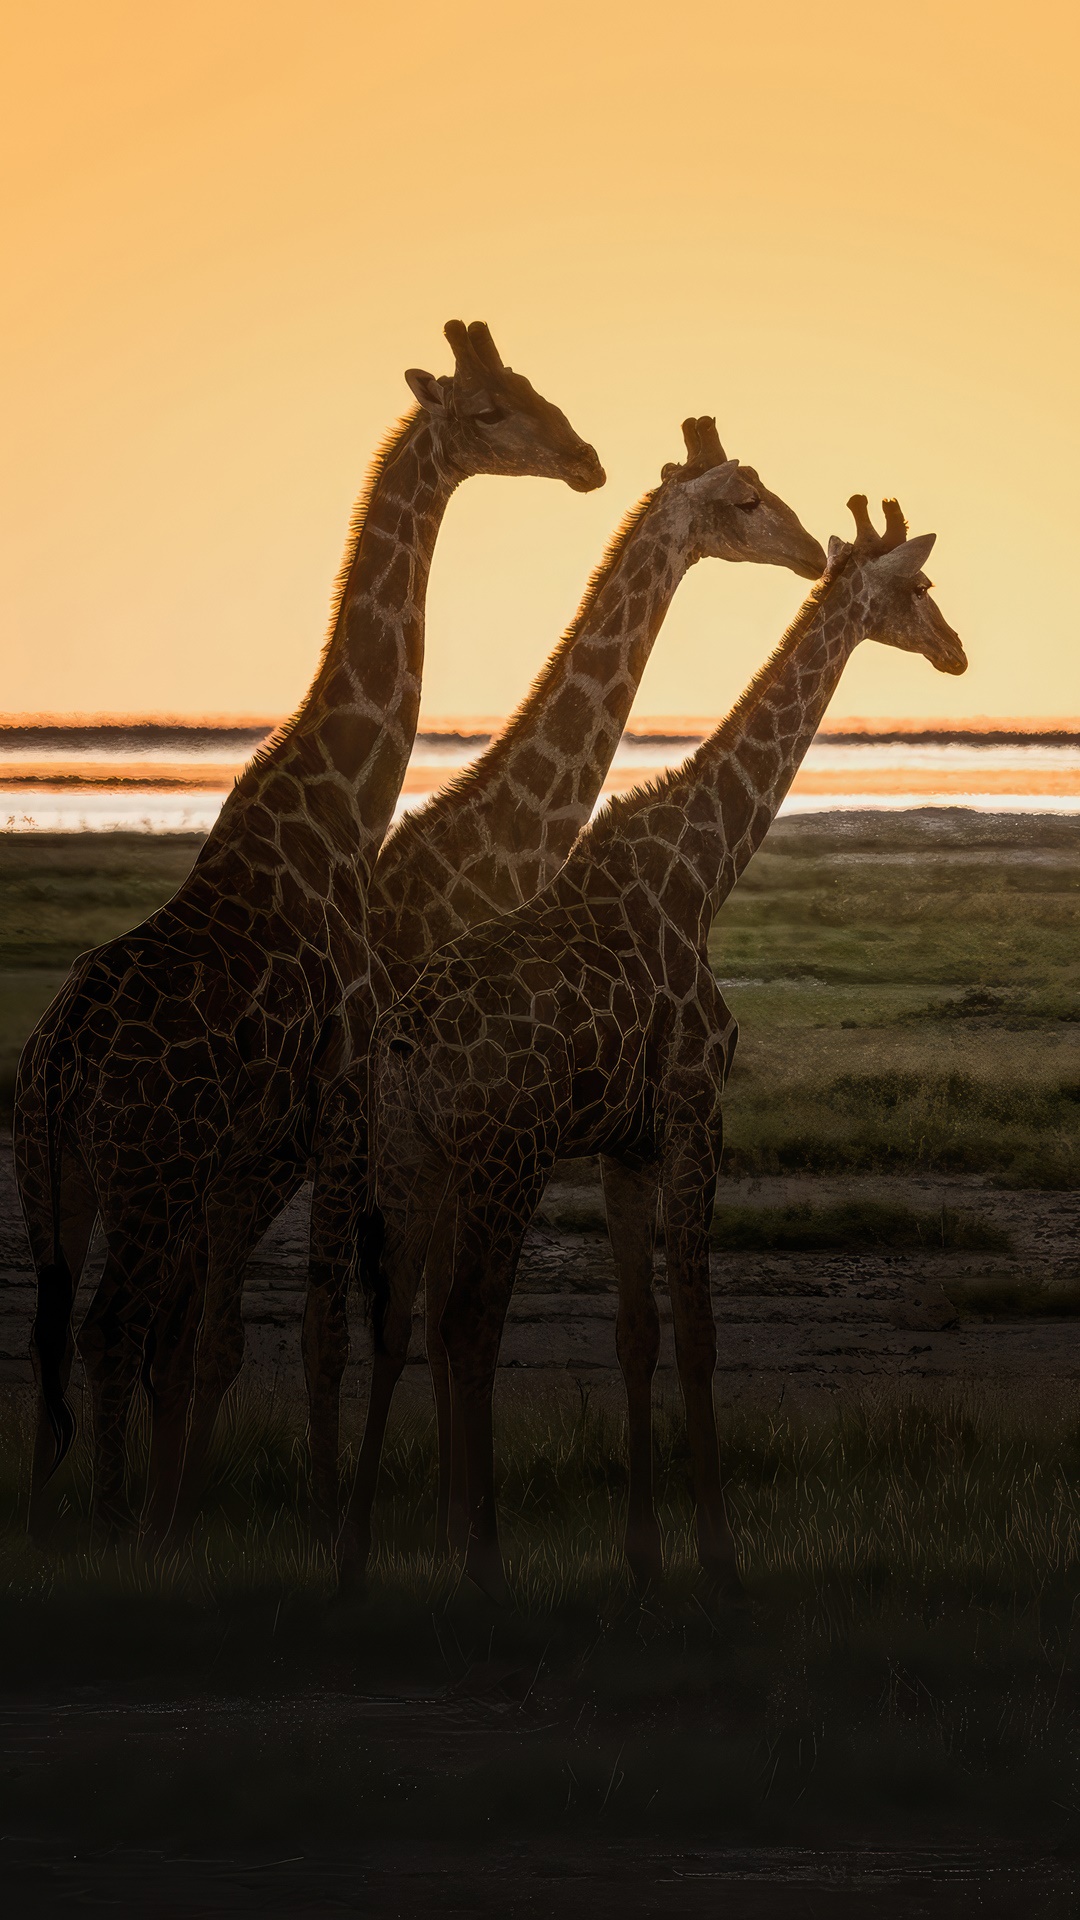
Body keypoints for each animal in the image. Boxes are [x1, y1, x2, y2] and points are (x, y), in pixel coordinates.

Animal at [15, 318, 603, 1541]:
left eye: (531, 385)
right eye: (490, 410)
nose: (586, 460)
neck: (341, 800)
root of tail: (55, 1072)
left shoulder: (277, 1134)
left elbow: (239, 1338)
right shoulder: (338, 1090)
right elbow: (322, 1330)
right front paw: (334, 1520)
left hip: (61, 1183)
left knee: (53, 1339)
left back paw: (55, 1529)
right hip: (150, 1172)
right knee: (107, 1329)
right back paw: (110, 1530)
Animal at [287, 416, 825, 1539]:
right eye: (745, 499)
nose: (812, 553)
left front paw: (451, 1511)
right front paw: (459, 1518)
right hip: (352, 1129)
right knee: (311, 1303)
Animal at [354, 497, 966, 1600]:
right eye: (918, 588)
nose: (957, 652)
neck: (704, 869)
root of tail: (406, 1048)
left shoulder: (625, 1143)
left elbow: (636, 1334)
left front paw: (643, 1551)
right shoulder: (694, 1110)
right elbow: (698, 1333)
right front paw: (719, 1553)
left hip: (412, 1155)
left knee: (391, 1315)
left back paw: (355, 1558)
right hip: (504, 1158)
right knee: (467, 1321)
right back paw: (482, 1561)